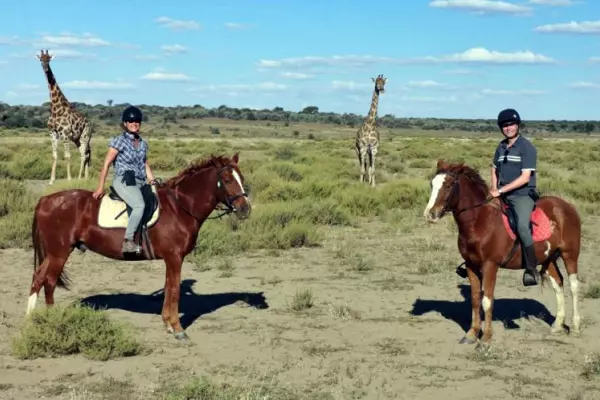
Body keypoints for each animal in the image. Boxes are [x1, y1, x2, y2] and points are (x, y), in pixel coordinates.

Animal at [25, 153, 250, 340]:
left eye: (242, 178)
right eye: (228, 180)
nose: (245, 209)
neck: (180, 207)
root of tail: (46, 200)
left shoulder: (171, 259)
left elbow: (168, 288)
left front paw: (168, 324)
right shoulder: (175, 257)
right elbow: (175, 290)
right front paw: (178, 329)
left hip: (54, 253)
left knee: (38, 278)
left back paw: (31, 319)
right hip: (60, 253)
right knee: (49, 281)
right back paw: (53, 320)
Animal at [37, 49, 91, 184]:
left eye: (49, 59)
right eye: (41, 59)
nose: (45, 68)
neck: (56, 109)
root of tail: (90, 124)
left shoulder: (65, 133)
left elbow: (67, 156)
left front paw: (69, 179)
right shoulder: (52, 133)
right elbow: (54, 155)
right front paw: (51, 180)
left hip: (85, 136)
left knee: (84, 154)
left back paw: (79, 177)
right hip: (77, 139)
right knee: (86, 153)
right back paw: (85, 177)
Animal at [422, 159, 580, 346]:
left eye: (448, 185)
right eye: (432, 184)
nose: (430, 214)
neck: (480, 221)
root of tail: (566, 206)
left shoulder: (490, 266)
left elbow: (487, 301)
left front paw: (486, 338)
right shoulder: (471, 266)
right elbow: (475, 300)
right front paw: (472, 334)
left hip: (570, 254)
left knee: (574, 286)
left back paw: (576, 327)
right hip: (547, 259)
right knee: (558, 284)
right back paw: (557, 325)